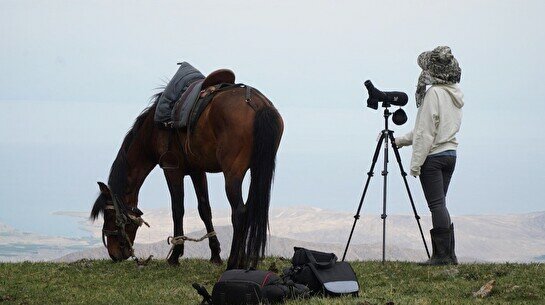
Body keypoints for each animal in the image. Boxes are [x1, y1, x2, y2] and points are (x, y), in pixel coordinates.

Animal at [88, 84, 284, 268]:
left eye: (110, 215)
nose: (114, 254)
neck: (152, 130)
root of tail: (258, 104)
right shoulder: (197, 171)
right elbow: (205, 209)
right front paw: (215, 254)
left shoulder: (172, 170)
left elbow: (177, 209)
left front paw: (175, 255)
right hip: (256, 170)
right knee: (249, 210)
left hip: (232, 174)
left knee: (239, 212)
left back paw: (233, 263)